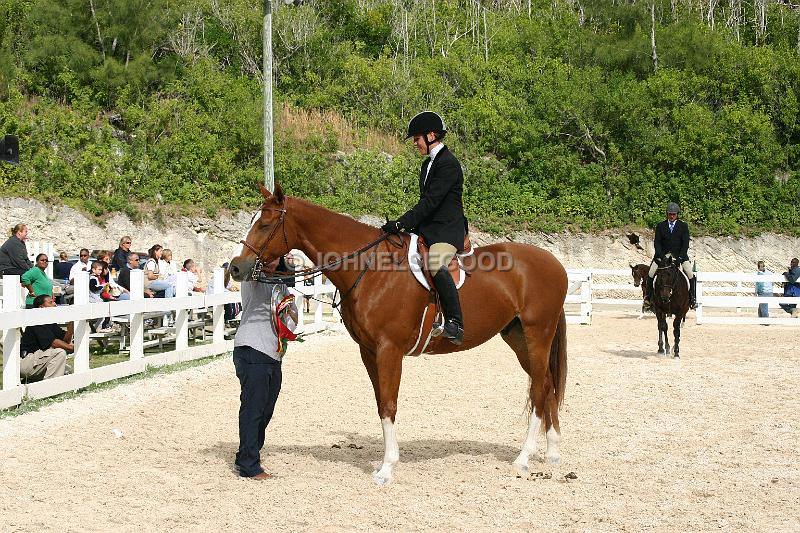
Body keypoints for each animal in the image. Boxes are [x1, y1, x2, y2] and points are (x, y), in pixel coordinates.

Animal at [228, 185, 568, 484]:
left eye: (266, 223)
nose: (236, 268)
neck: (369, 268)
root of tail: (555, 263)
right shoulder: (368, 351)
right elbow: (381, 404)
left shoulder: (388, 349)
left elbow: (389, 404)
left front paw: (387, 469)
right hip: (519, 339)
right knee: (547, 386)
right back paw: (552, 454)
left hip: (538, 335)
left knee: (539, 390)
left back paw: (524, 458)